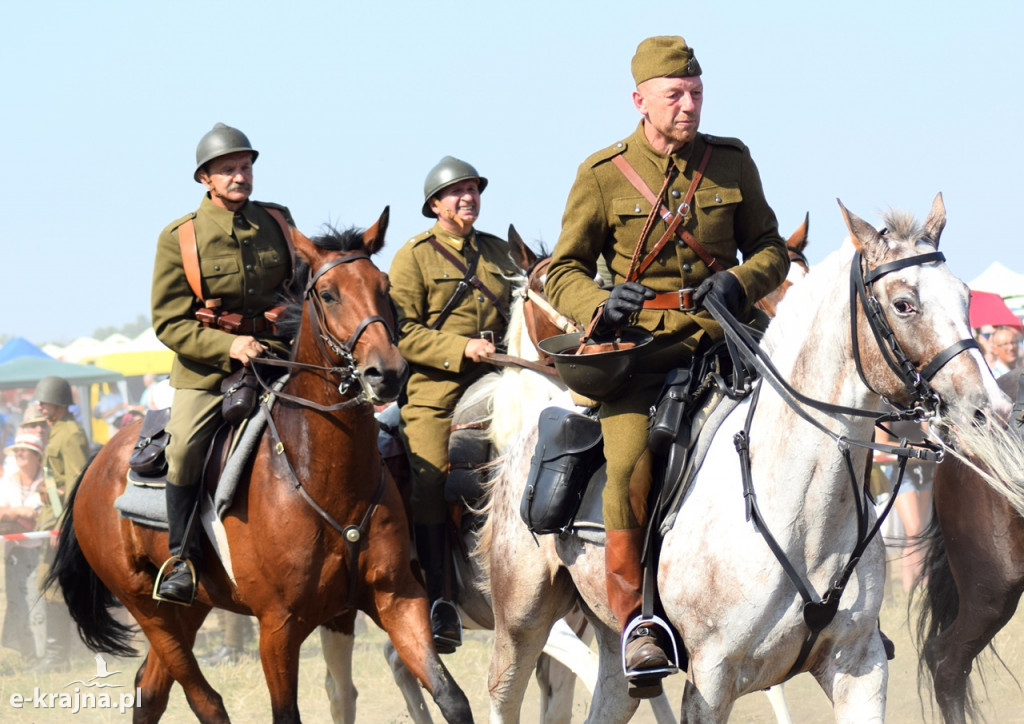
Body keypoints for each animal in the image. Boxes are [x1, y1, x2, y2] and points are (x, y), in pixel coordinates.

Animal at [49, 206, 473, 720]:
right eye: (328, 294)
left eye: (384, 286)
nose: (385, 373)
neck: (324, 478)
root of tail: (95, 465)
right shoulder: (277, 628)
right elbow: (285, 711)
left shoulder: (397, 600)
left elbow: (452, 698)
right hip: (145, 606)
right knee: (203, 697)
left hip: (191, 607)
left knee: (151, 688)